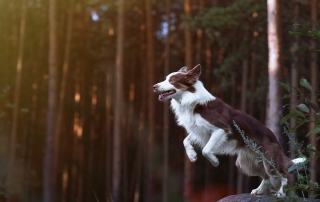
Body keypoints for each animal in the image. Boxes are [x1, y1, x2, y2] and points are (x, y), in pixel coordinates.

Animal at [154, 64, 306, 196]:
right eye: (166, 78)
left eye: (172, 80)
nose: (154, 86)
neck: (192, 100)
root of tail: (275, 139)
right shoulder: (200, 131)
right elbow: (185, 141)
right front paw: (192, 155)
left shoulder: (221, 129)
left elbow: (206, 150)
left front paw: (214, 161)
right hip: (245, 163)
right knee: (266, 176)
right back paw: (258, 191)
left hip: (269, 160)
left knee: (284, 174)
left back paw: (280, 193)